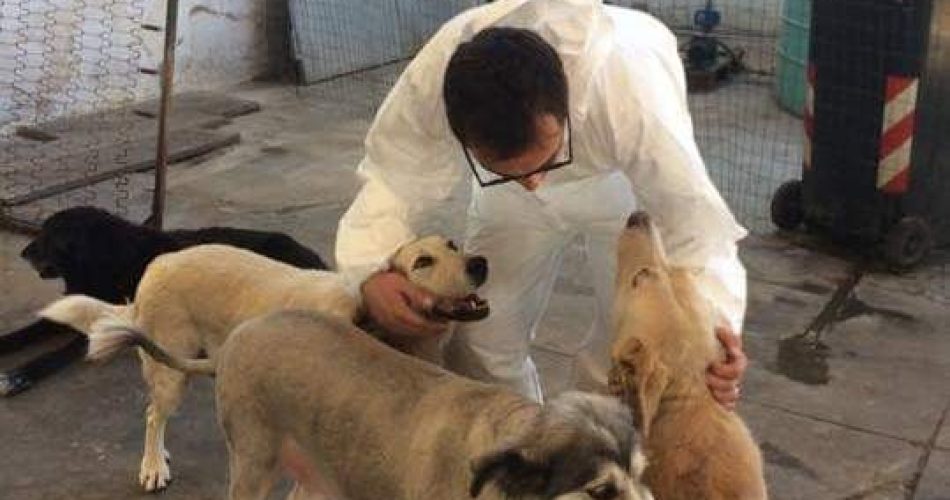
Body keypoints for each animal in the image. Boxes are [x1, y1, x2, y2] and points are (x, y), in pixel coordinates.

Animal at [0, 206, 328, 397]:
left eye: (47, 235)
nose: (23, 253)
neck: (101, 258)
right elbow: (24, 333)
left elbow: (51, 356)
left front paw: (19, 376)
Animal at [41, 235, 489, 492]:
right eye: (422, 262)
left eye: (453, 244)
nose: (479, 263)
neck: (372, 319)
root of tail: (157, 263)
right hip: (170, 371)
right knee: (154, 414)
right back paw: (152, 465)